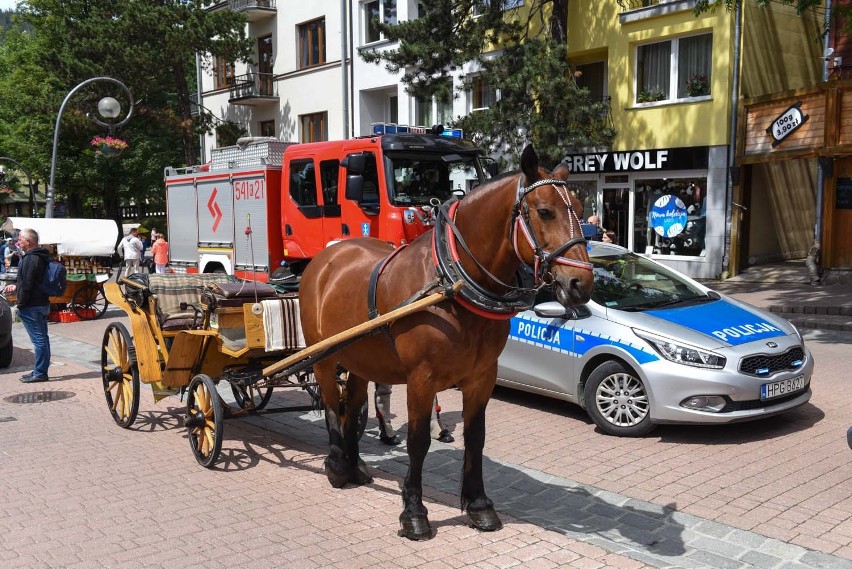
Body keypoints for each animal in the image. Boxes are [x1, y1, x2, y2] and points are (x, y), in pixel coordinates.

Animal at [300, 144, 592, 540]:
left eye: (578, 208)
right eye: (544, 211)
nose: (582, 284)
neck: (452, 282)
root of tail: (327, 257)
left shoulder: (482, 376)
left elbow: (476, 436)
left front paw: (479, 505)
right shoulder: (421, 379)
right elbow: (418, 441)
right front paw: (413, 512)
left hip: (360, 355)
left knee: (354, 403)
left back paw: (355, 464)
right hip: (324, 355)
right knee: (333, 402)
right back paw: (336, 465)